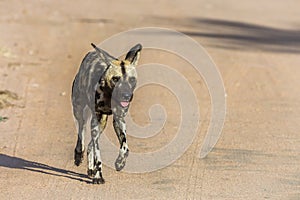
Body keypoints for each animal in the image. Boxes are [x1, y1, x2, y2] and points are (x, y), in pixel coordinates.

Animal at [72, 43, 143, 184]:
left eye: (132, 79)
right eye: (116, 79)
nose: (126, 96)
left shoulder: (119, 119)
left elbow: (125, 147)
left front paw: (120, 163)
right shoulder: (95, 122)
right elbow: (98, 155)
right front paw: (99, 176)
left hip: (102, 124)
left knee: (90, 145)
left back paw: (90, 169)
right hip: (80, 113)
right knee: (81, 134)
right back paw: (79, 155)